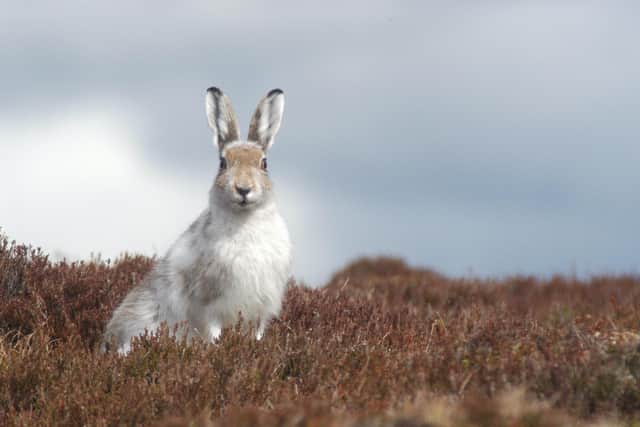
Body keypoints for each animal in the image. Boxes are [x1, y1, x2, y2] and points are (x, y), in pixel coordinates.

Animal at [102, 87, 292, 353]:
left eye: (264, 163)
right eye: (222, 163)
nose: (243, 189)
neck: (245, 221)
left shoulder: (260, 310)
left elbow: (257, 335)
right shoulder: (209, 306)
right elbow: (214, 334)